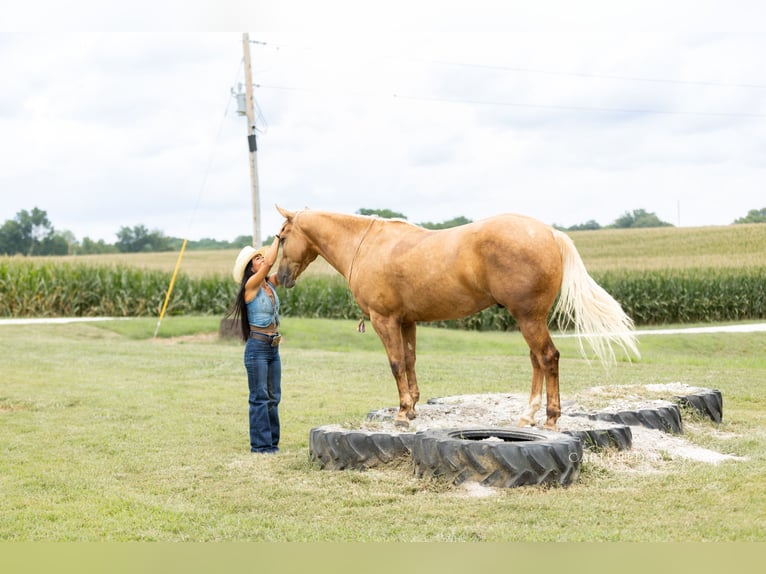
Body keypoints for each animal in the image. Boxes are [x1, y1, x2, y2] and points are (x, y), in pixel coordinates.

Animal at [274, 206, 639, 430]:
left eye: (282, 237)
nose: (280, 278)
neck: (368, 245)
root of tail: (550, 233)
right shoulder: (407, 321)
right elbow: (410, 361)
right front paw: (413, 408)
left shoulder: (385, 320)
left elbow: (396, 364)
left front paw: (401, 414)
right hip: (530, 320)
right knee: (537, 360)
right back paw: (528, 416)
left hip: (529, 318)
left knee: (548, 358)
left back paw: (549, 419)